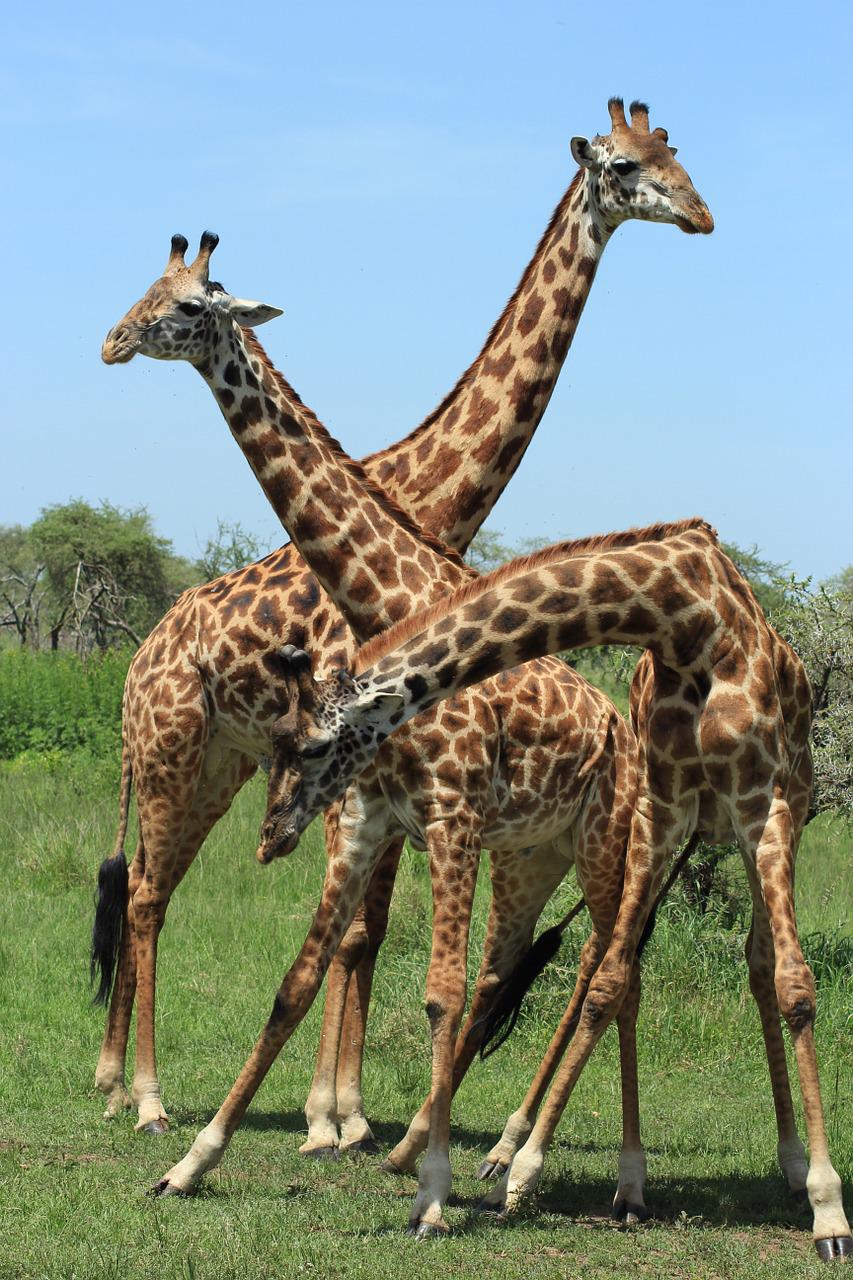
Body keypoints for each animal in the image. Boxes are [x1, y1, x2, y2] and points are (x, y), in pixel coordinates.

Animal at [93, 96, 713, 1151]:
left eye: (671, 158)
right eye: (626, 165)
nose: (110, 340)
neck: (429, 501)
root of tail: (140, 658)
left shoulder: (371, 782)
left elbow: (364, 934)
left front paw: (341, 1114)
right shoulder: (351, 775)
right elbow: (353, 935)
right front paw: (329, 1118)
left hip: (215, 764)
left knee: (146, 887)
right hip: (174, 753)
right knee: (143, 895)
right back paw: (138, 1093)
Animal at [235, 517, 849, 1260]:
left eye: (314, 746)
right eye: (275, 739)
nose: (270, 835)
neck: (687, 618)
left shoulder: (763, 805)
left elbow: (796, 987)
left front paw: (829, 1210)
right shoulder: (663, 807)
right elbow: (611, 982)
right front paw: (545, 1173)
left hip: (773, 816)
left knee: (761, 967)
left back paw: (792, 1165)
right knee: (625, 967)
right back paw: (516, 1159)